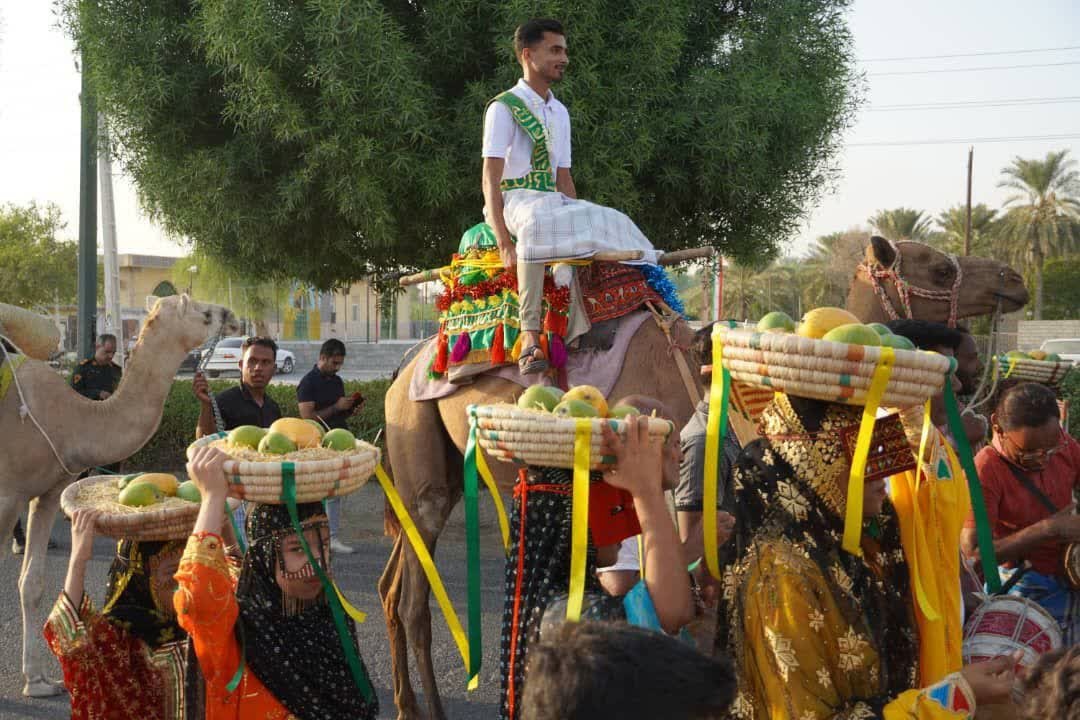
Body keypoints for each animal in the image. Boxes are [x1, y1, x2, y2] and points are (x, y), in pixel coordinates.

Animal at [0, 293, 238, 699]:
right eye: (204, 313)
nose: (231, 316)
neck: (71, 419)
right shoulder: (7, 495)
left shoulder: (45, 493)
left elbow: (31, 583)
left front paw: (39, 682)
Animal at [378, 237, 1028, 720]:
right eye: (939, 264)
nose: (1015, 278)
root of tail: (400, 369)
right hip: (421, 461)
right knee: (412, 599)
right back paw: (425, 709)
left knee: (392, 584)